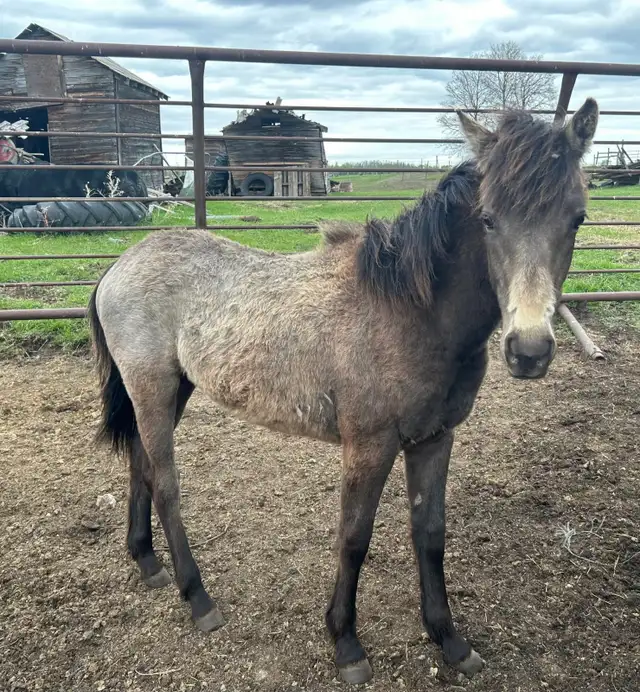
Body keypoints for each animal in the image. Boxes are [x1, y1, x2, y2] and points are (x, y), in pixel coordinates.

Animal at [87, 98, 599, 685]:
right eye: (488, 218)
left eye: (577, 217)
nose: (530, 350)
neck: (410, 311)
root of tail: (120, 265)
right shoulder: (369, 445)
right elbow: (354, 538)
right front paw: (346, 644)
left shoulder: (435, 439)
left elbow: (430, 533)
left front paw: (448, 638)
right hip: (152, 386)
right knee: (166, 483)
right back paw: (198, 598)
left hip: (172, 389)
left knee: (140, 463)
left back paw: (146, 561)